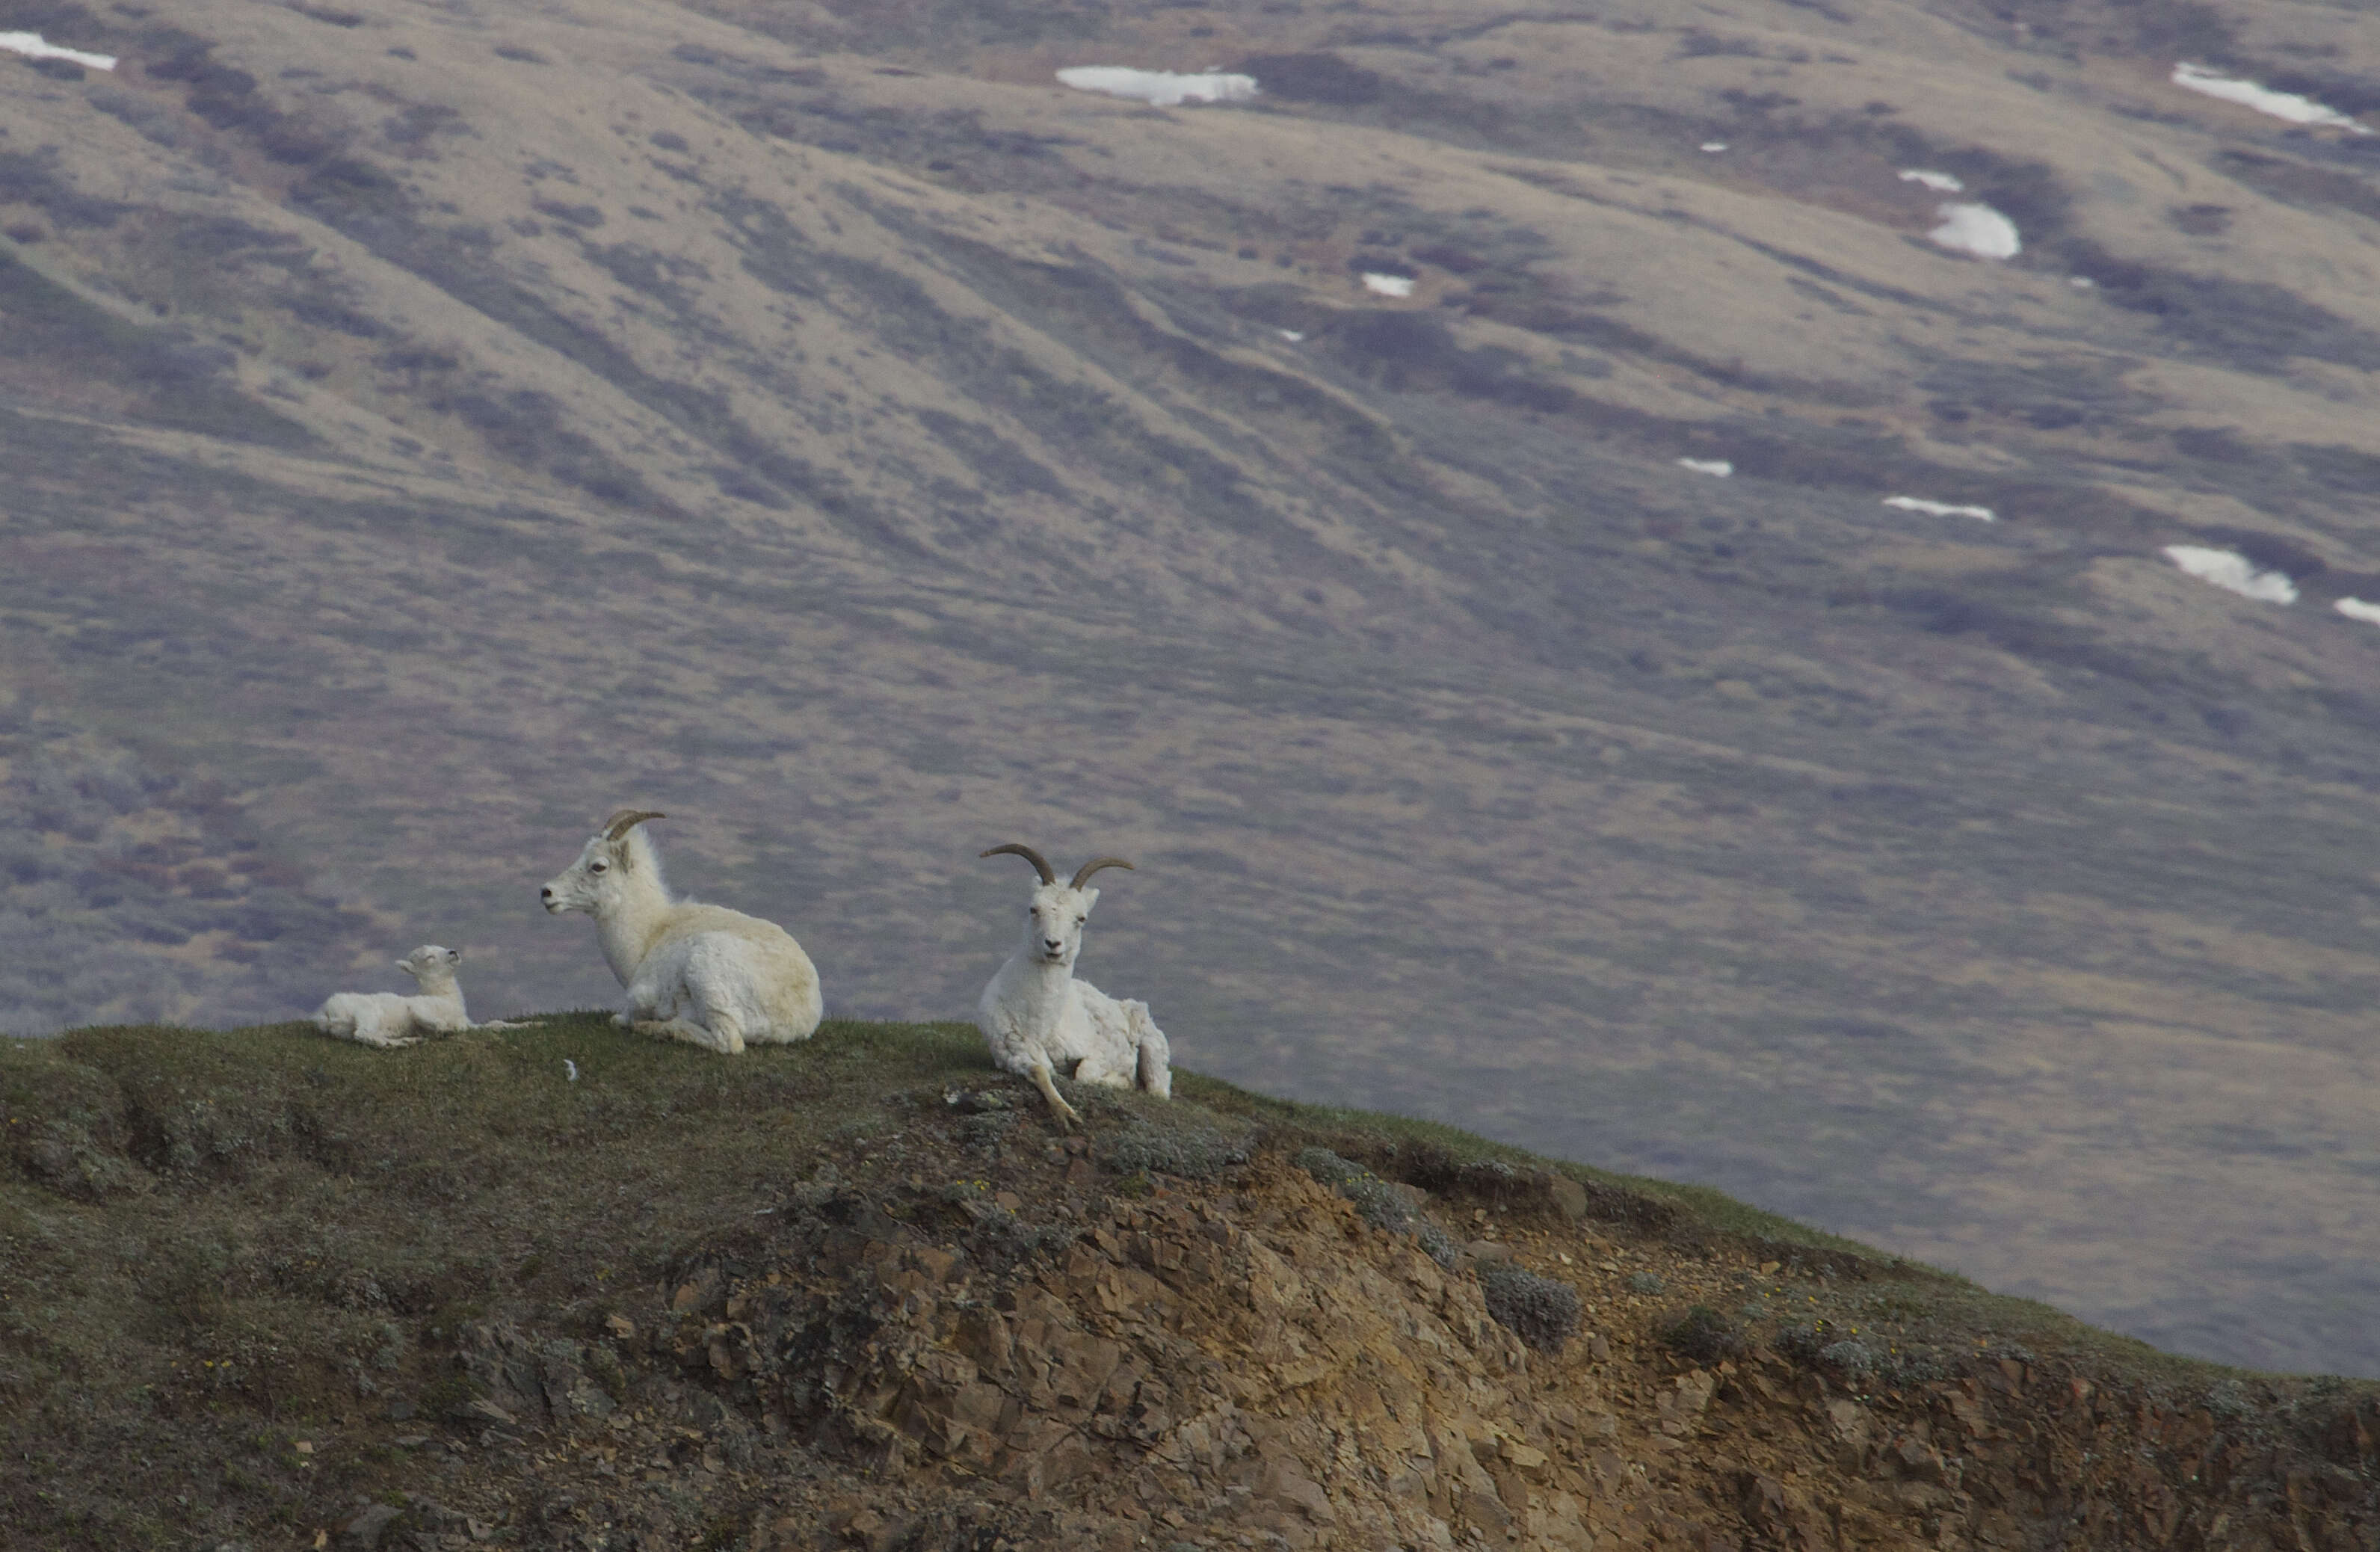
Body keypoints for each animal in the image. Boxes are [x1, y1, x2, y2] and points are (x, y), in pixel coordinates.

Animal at [312, 937, 469, 1047]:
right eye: (429, 958)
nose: (453, 952)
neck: (446, 998)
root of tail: (326, 1015)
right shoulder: (419, 1007)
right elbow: (430, 1019)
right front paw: (444, 1031)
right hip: (367, 1012)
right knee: (362, 1034)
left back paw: (408, 1041)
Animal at [542, 813, 828, 1056]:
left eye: (598, 866)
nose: (547, 893)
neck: (650, 936)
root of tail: (797, 1016)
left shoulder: (639, 998)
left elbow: (618, 1019)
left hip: (706, 976)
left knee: (728, 1042)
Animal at [975, 847, 1171, 1128]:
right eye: (1034, 909)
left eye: (1081, 918)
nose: (1053, 944)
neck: (1039, 1024)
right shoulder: (1013, 1055)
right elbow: (1041, 1071)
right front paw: (1067, 1115)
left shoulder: (1099, 1054)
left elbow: (1084, 1074)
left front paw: (1121, 1082)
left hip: (1153, 1055)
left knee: (1157, 1091)